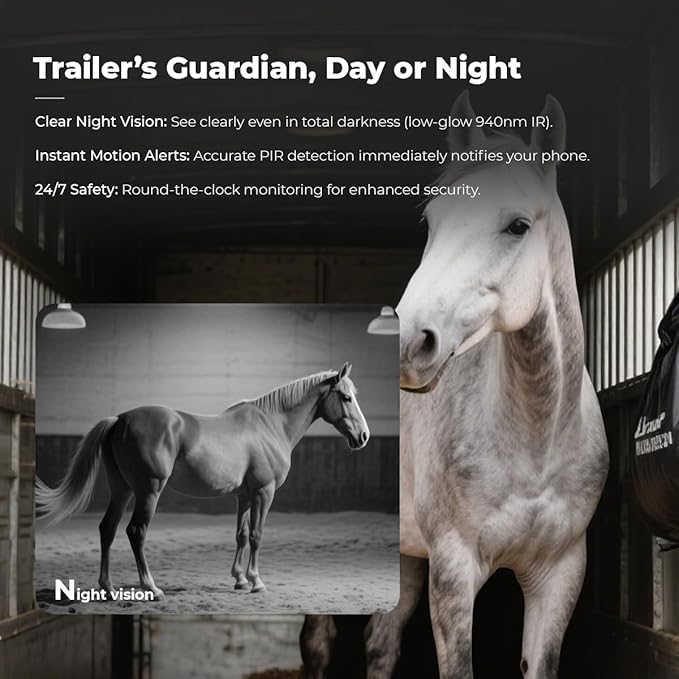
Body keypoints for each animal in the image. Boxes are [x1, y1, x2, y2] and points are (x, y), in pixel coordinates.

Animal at [36, 362, 370, 598]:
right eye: (346, 397)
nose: (364, 436)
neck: (270, 425)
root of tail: (120, 419)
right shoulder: (264, 492)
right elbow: (257, 535)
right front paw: (256, 581)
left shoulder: (244, 495)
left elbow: (241, 534)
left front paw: (239, 579)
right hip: (148, 490)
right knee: (136, 531)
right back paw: (151, 587)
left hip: (123, 489)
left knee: (107, 529)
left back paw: (107, 587)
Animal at [301, 92, 609, 679]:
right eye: (431, 219)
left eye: (517, 226)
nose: (408, 342)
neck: (535, 439)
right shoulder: (454, 570)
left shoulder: (560, 574)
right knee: (318, 644)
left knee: (381, 643)